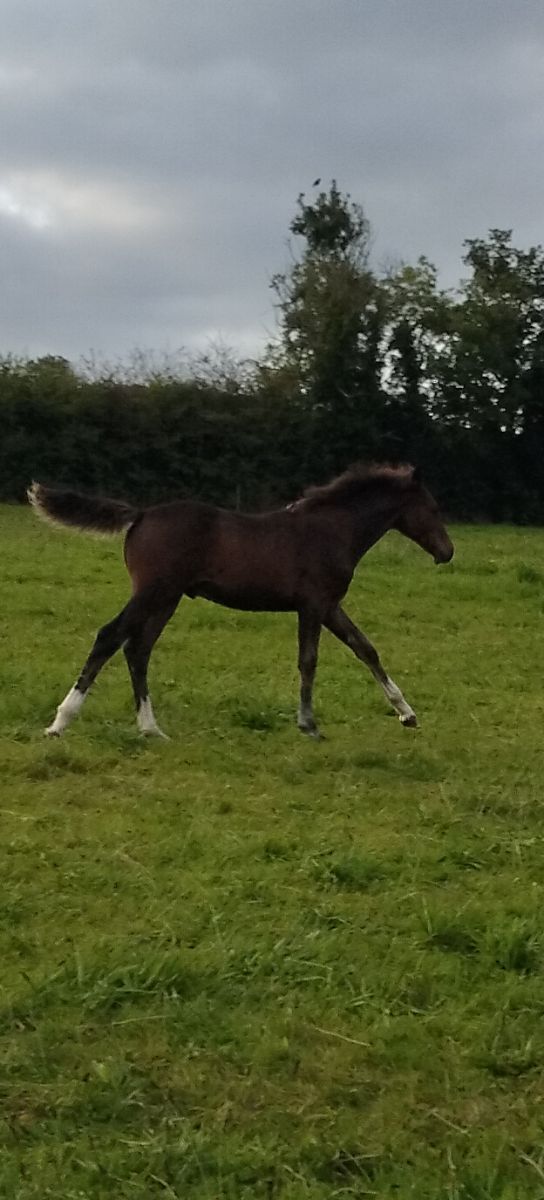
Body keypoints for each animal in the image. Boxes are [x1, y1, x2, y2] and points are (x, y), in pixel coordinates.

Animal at [28, 464, 453, 740]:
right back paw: (60, 723)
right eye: (433, 509)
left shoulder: (330, 606)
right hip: (153, 591)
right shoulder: (313, 605)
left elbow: (366, 649)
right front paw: (309, 725)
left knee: (138, 649)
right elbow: (309, 660)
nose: (447, 552)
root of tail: (142, 513)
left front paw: (407, 714)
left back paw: (150, 729)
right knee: (109, 636)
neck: (331, 530)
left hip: (166, 598)